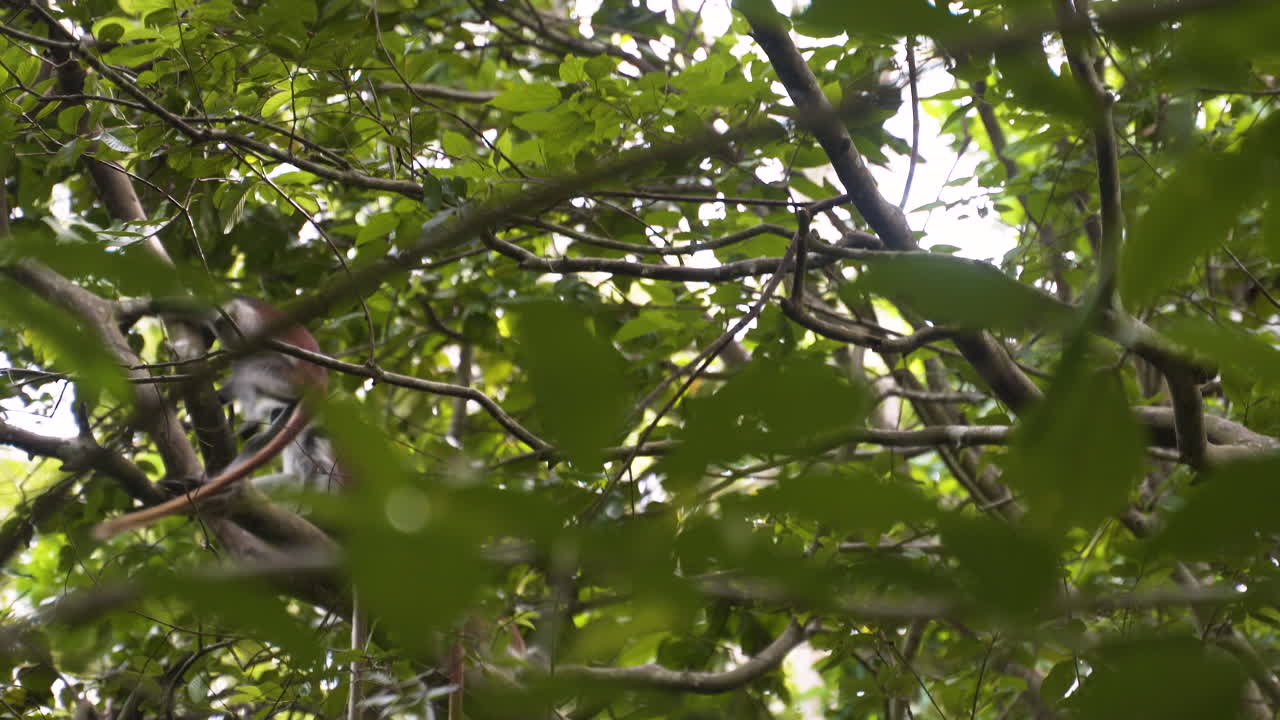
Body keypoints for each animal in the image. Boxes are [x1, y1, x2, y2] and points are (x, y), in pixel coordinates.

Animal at [92, 296, 338, 540]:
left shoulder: (232, 312)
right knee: (262, 436)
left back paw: (251, 420)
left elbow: (218, 312)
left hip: (287, 375)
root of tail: (320, 378)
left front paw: (149, 306)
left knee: (246, 366)